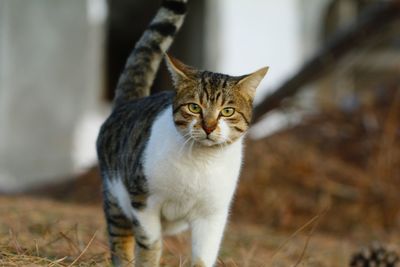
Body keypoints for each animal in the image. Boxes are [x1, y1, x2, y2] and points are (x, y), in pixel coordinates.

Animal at [95, 1, 268, 266]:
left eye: (227, 111)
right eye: (194, 107)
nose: (209, 126)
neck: (201, 162)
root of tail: (131, 101)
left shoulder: (212, 215)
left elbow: (203, 256)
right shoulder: (144, 203)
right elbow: (149, 245)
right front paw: (149, 260)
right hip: (116, 197)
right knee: (120, 241)